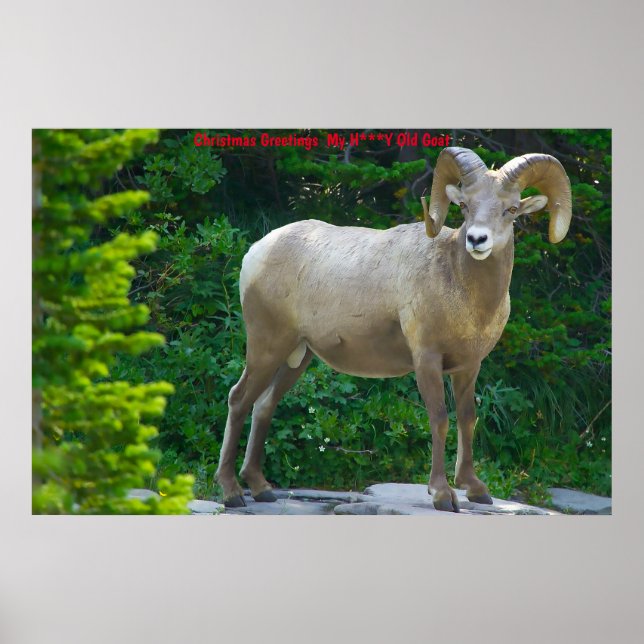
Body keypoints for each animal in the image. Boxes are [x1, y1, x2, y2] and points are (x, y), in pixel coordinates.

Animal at [215, 147, 572, 512]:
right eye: (464, 205)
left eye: (511, 209)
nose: (477, 240)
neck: (462, 290)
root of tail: (255, 253)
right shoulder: (427, 360)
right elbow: (440, 418)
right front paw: (442, 495)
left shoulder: (469, 367)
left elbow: (467, 418)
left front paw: (475, 490)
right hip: (267, 347)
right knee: (239, 399)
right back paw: (232, 492)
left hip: (296, 357)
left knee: (264, 405)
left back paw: (261, 488)